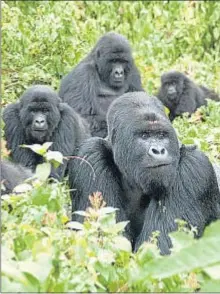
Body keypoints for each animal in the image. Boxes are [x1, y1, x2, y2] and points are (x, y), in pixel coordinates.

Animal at [69, 90, 220, 254]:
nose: (158, 150)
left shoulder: (194, 167)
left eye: (161, 135)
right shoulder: (89, 155)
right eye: (144, 135)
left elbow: (160, 249)